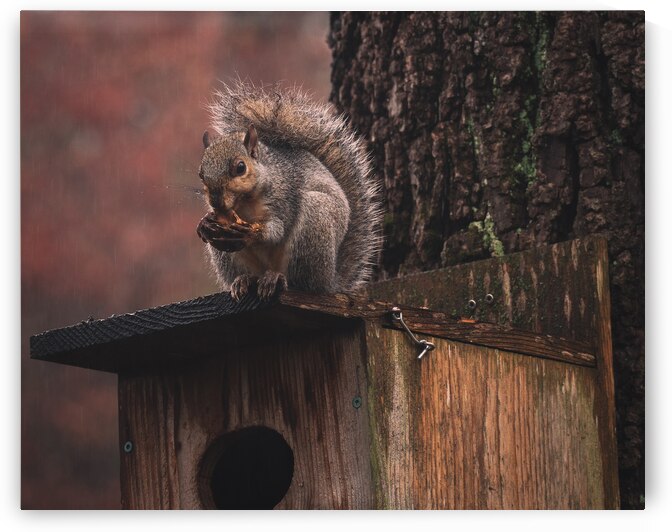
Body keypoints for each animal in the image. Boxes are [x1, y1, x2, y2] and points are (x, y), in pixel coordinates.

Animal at [196, 81, 383, 301]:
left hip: (314, 225)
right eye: (201, 173)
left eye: (240, 167)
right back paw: (244, 280)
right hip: (229, 259)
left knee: (302, 282)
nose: (216, 201)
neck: (244, 202)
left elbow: (277, 229)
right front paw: (205, 223)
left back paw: (277, 279)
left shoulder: (284, 196)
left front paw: (253, 233)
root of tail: (330, 281)